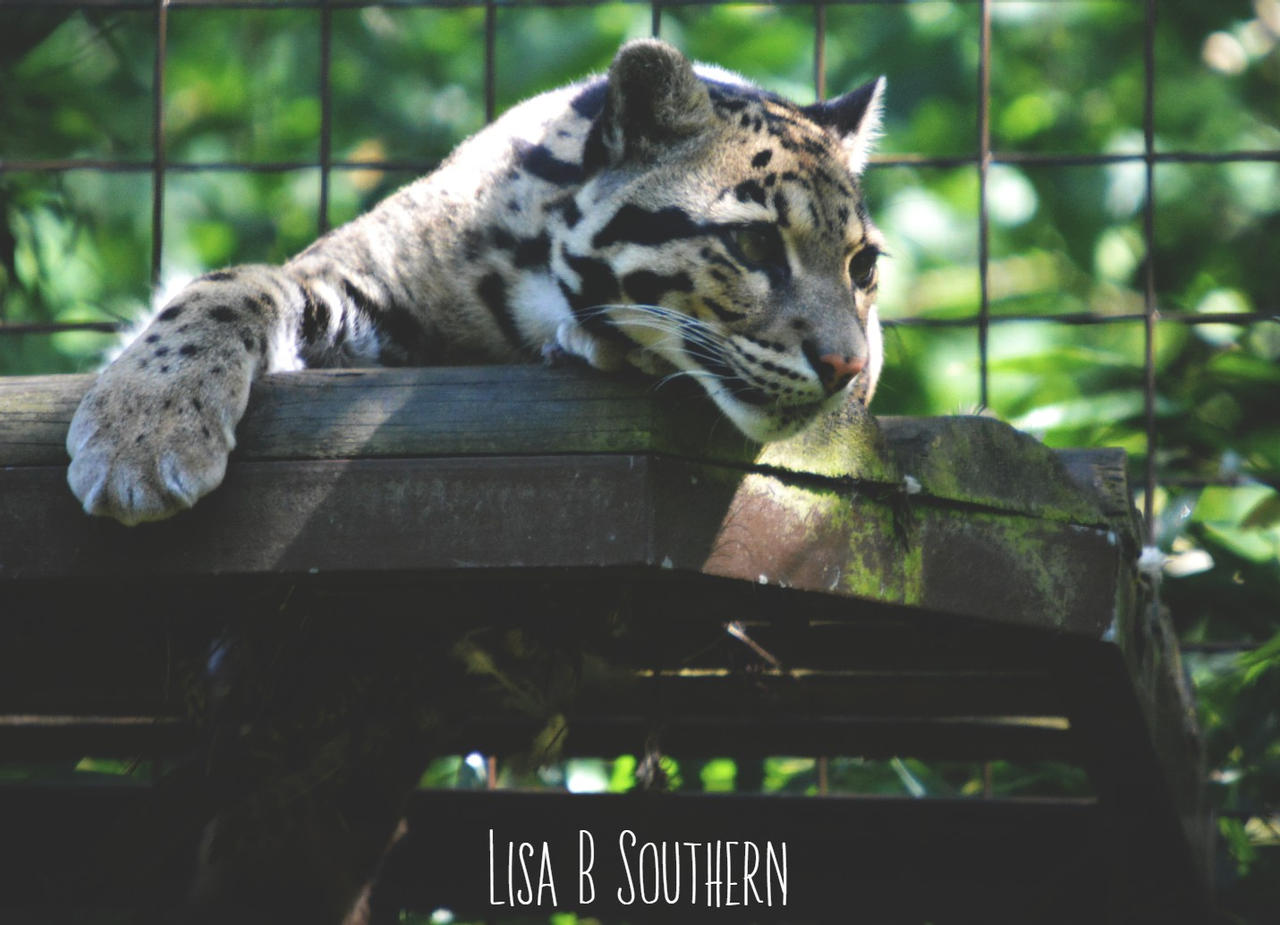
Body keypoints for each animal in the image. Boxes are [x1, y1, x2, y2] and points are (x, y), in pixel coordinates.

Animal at [66, 38, 886, 525]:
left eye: (864, 267)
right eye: (752, 241)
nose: (844, 366)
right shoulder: (352, 275)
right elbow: (233, 283)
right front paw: (144, 433)